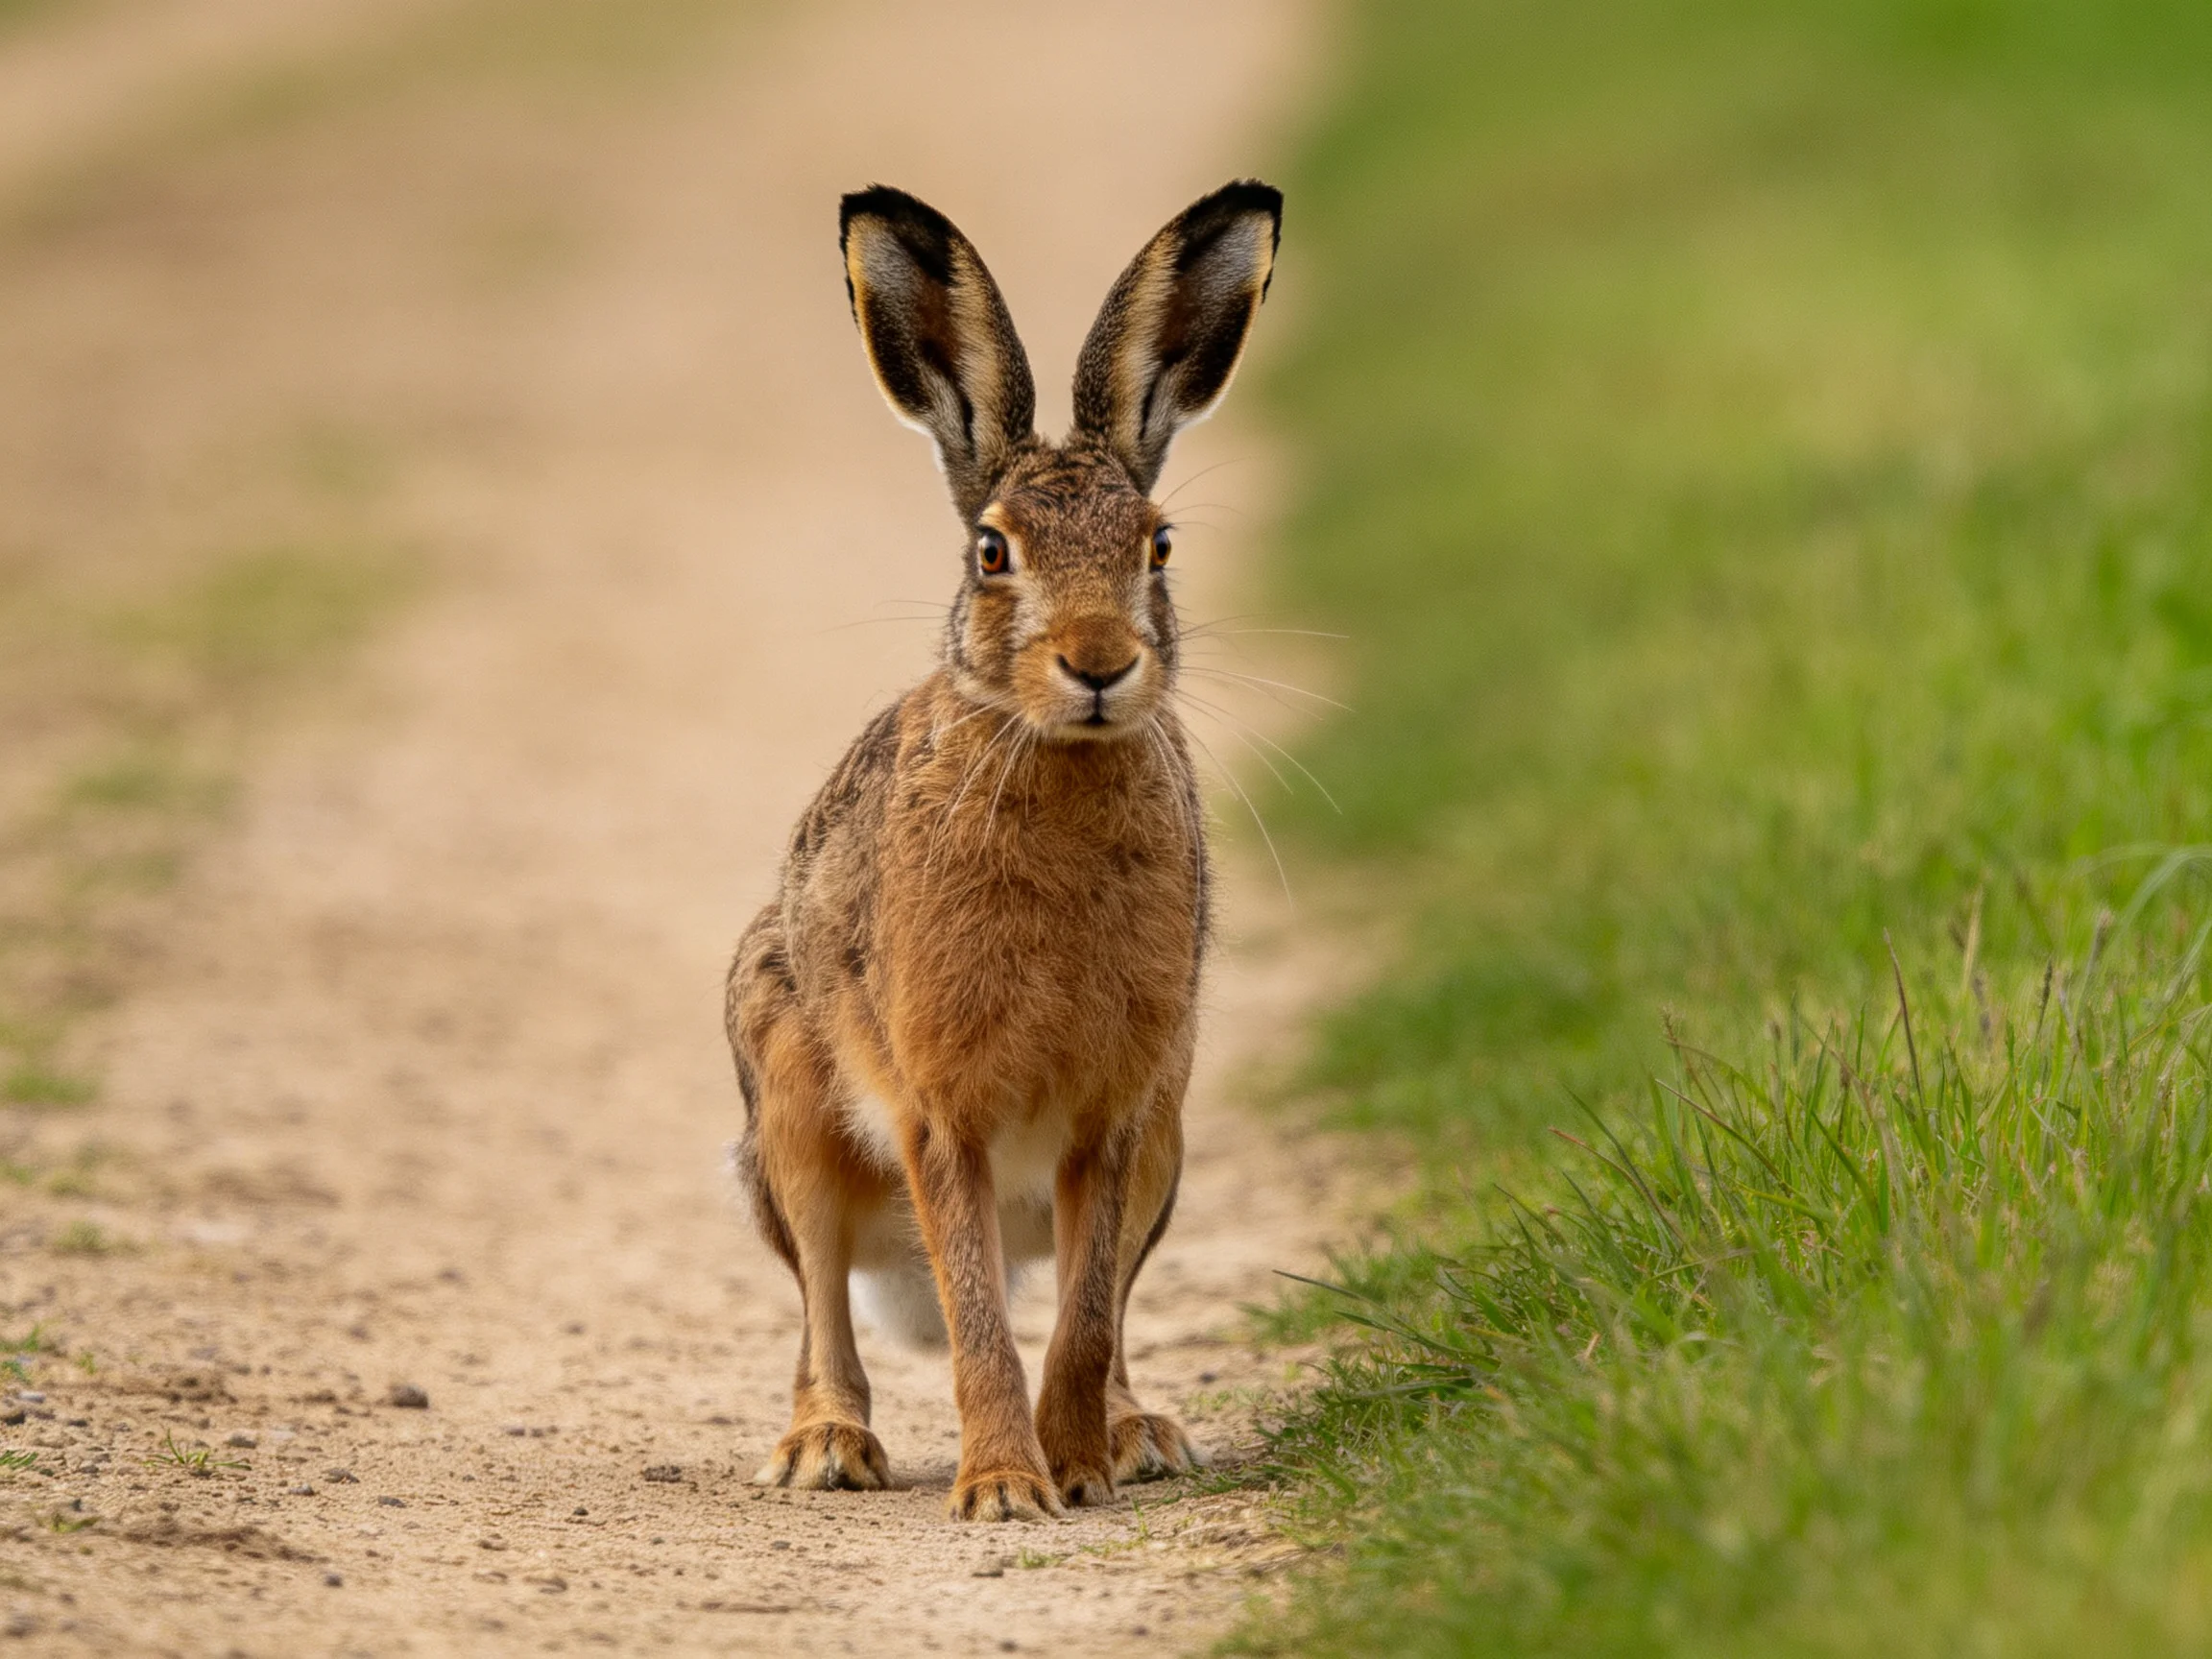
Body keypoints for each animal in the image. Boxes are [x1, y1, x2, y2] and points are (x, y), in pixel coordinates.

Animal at [725, 179, 1280, 1522]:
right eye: (992, 552)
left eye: (1159, 546)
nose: (1098, 664)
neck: (1055, 755)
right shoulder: (940, 1115)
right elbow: (980, 1315)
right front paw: (1001, 1491)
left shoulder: (1122, 1114)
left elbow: (1078, 1320)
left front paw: (1072, 1469)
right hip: (789, 1116)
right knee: (825, 1302)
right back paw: (826, 1447)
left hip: (1173, 1147)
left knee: (1107, 1305)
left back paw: (1136, 1436)